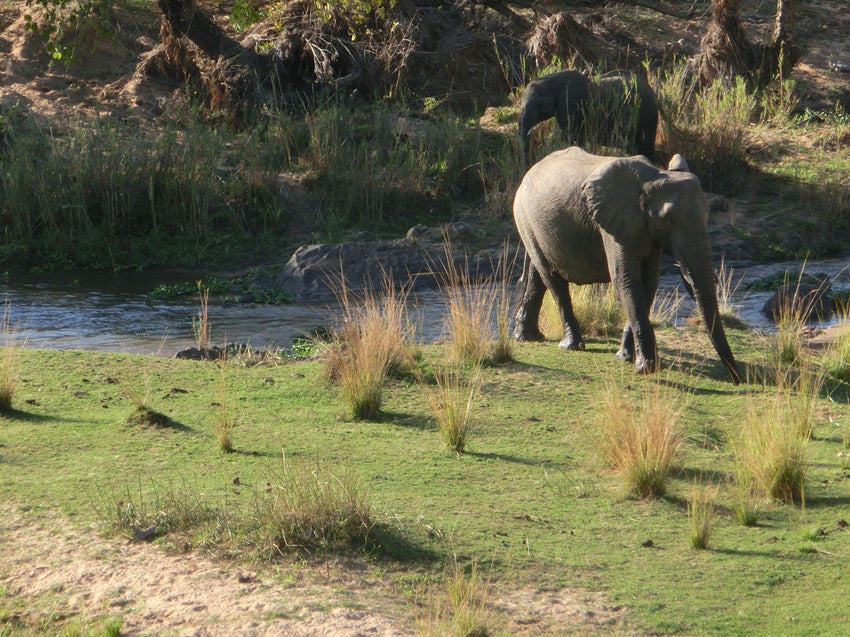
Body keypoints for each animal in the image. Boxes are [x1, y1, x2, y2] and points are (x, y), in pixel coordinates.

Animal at [510, 147, 744, 382]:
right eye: (668, 220)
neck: (652, 178)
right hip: (524, 216)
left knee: (538, 274)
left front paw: (626, 358)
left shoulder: (645, 228)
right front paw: (646, 368)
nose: (738, 380)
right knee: (552, 279)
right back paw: (571, 345)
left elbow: (648, 283)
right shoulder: (616, 221)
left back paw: (527, 337)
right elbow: (626, 280)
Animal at [512, 69, 660, 161]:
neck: (552, 80)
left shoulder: (573, 103)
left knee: (644, 147)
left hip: (647, 116)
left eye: (538, 105)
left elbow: (569, 136)